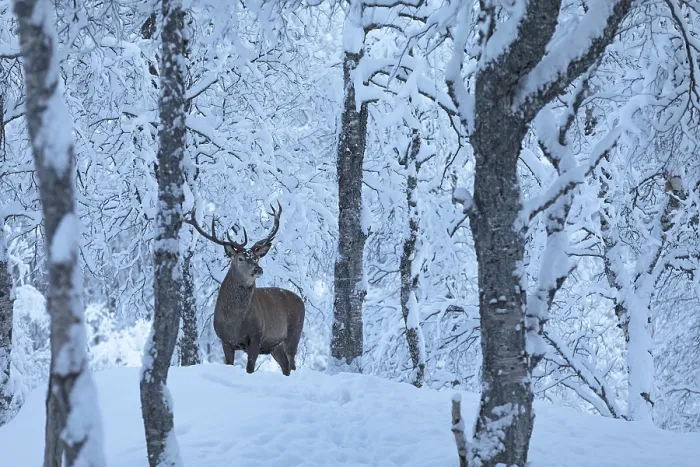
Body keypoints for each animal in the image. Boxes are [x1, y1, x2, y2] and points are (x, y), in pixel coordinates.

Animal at [185, 201, 305, 376]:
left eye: (256, 258)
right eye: (240, 258)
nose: (258, 269)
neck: (235, 323)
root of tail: (301, 300)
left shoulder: (256, 336)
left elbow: (250, 369)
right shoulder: (225, 340)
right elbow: (229, 364)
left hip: (294, 333)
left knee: (292, 363)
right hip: (275, 345)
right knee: (285, 365)